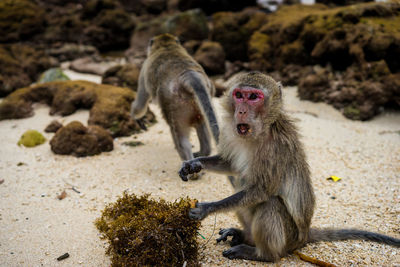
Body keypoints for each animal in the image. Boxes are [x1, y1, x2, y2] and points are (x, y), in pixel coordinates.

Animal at [130, 34, 219, 163]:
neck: (167, 46)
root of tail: (189, 76)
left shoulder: (144, 68)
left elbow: (140, 103)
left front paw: (136, 117)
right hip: (196, 103)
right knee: (202, 123)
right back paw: (203, 153)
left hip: (175, 104)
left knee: (180, 137)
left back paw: (189, 164)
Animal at [179, 71, 400, 264]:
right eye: (239, 95)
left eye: (253, 97)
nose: (240, 111)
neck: (260, 132)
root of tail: (304, 236)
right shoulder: (230, 132)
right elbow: (231, 164)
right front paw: (194, 164)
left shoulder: (276, 149)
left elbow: (261, 191)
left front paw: (208, 208)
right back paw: (244, 235)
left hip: (290, 238)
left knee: (269, 203)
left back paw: (262, 254)